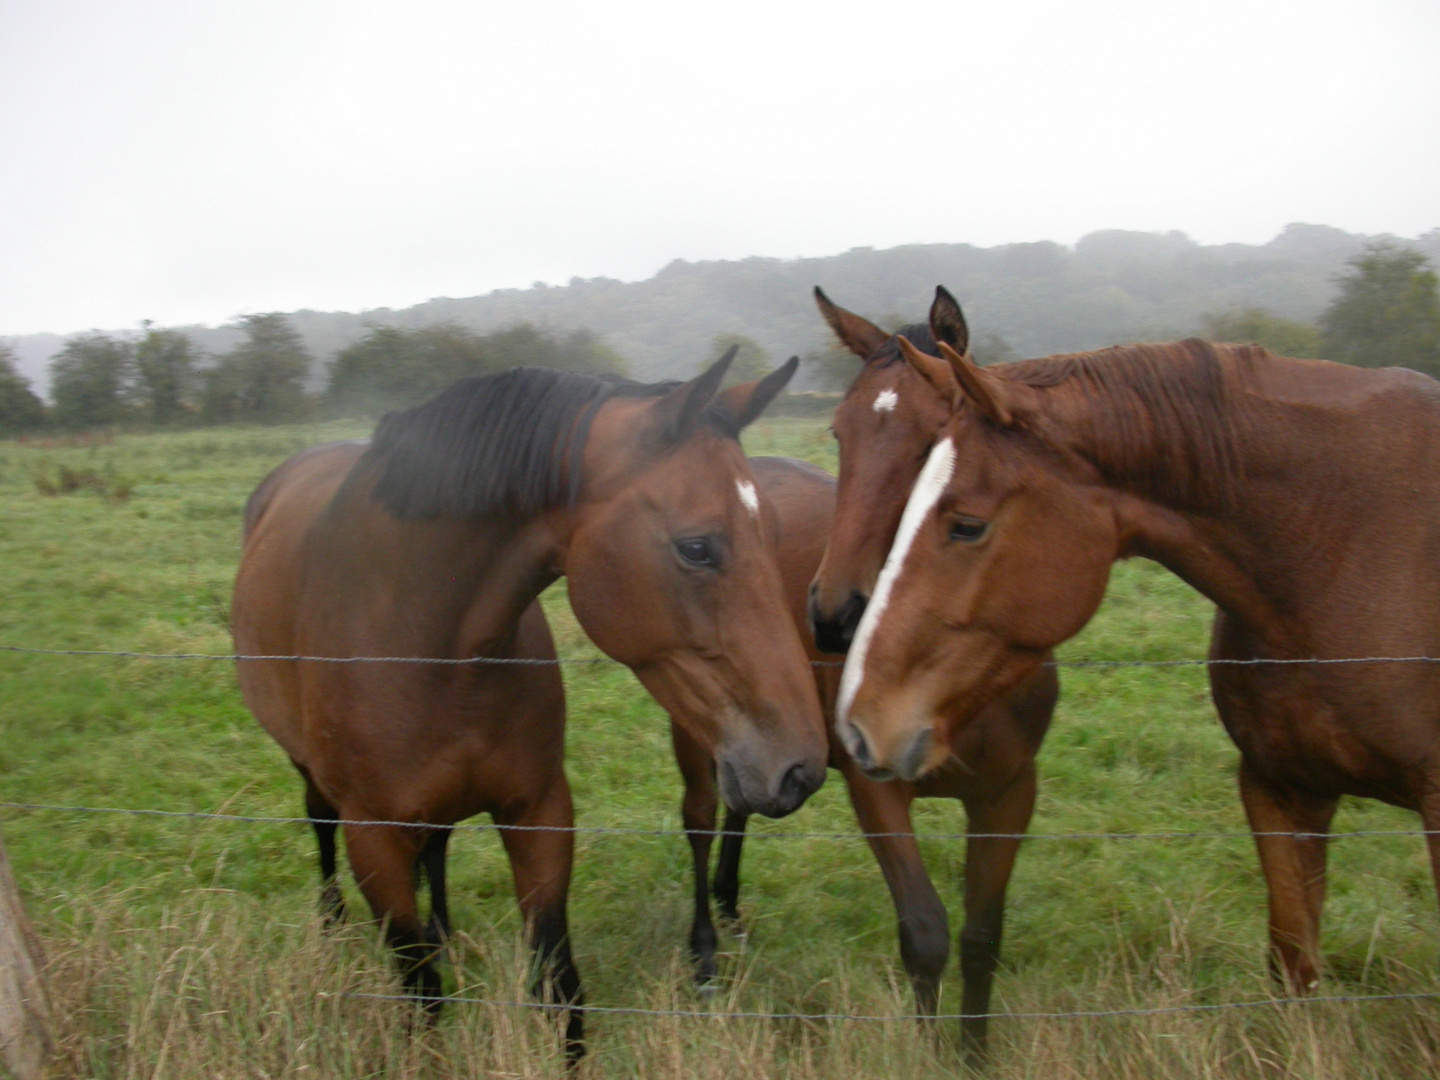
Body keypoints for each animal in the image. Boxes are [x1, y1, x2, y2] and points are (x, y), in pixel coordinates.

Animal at [231, 352, 829, 1059]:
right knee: (320, 823)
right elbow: (422, 996)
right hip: (311, 775)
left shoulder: (538, 812)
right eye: (696, 548)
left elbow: (560, 991)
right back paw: (332, 926)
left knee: (436, 844)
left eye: (777, 532)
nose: (801, 766)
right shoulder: (374, 840)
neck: (427, 638)